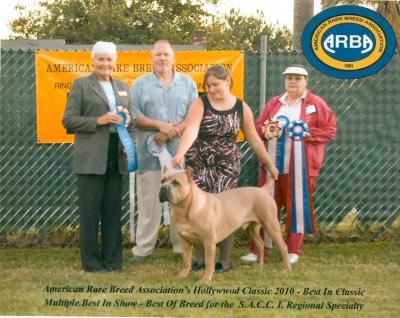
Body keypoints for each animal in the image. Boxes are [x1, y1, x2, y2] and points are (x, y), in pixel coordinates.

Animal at [159, 168, 290, 282]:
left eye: (176, 183)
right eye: (162, 181)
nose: (163, 188)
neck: (185, 209)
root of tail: (262, 190)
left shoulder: (209, 242)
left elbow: (209, 263)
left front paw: (206, 279)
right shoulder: (185, 242)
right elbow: (186, 262)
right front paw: (182, 275)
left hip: (271, 225)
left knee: (283, 246)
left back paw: (286, 269)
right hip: (251, 229)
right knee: (261, 244)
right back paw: (259, 266)